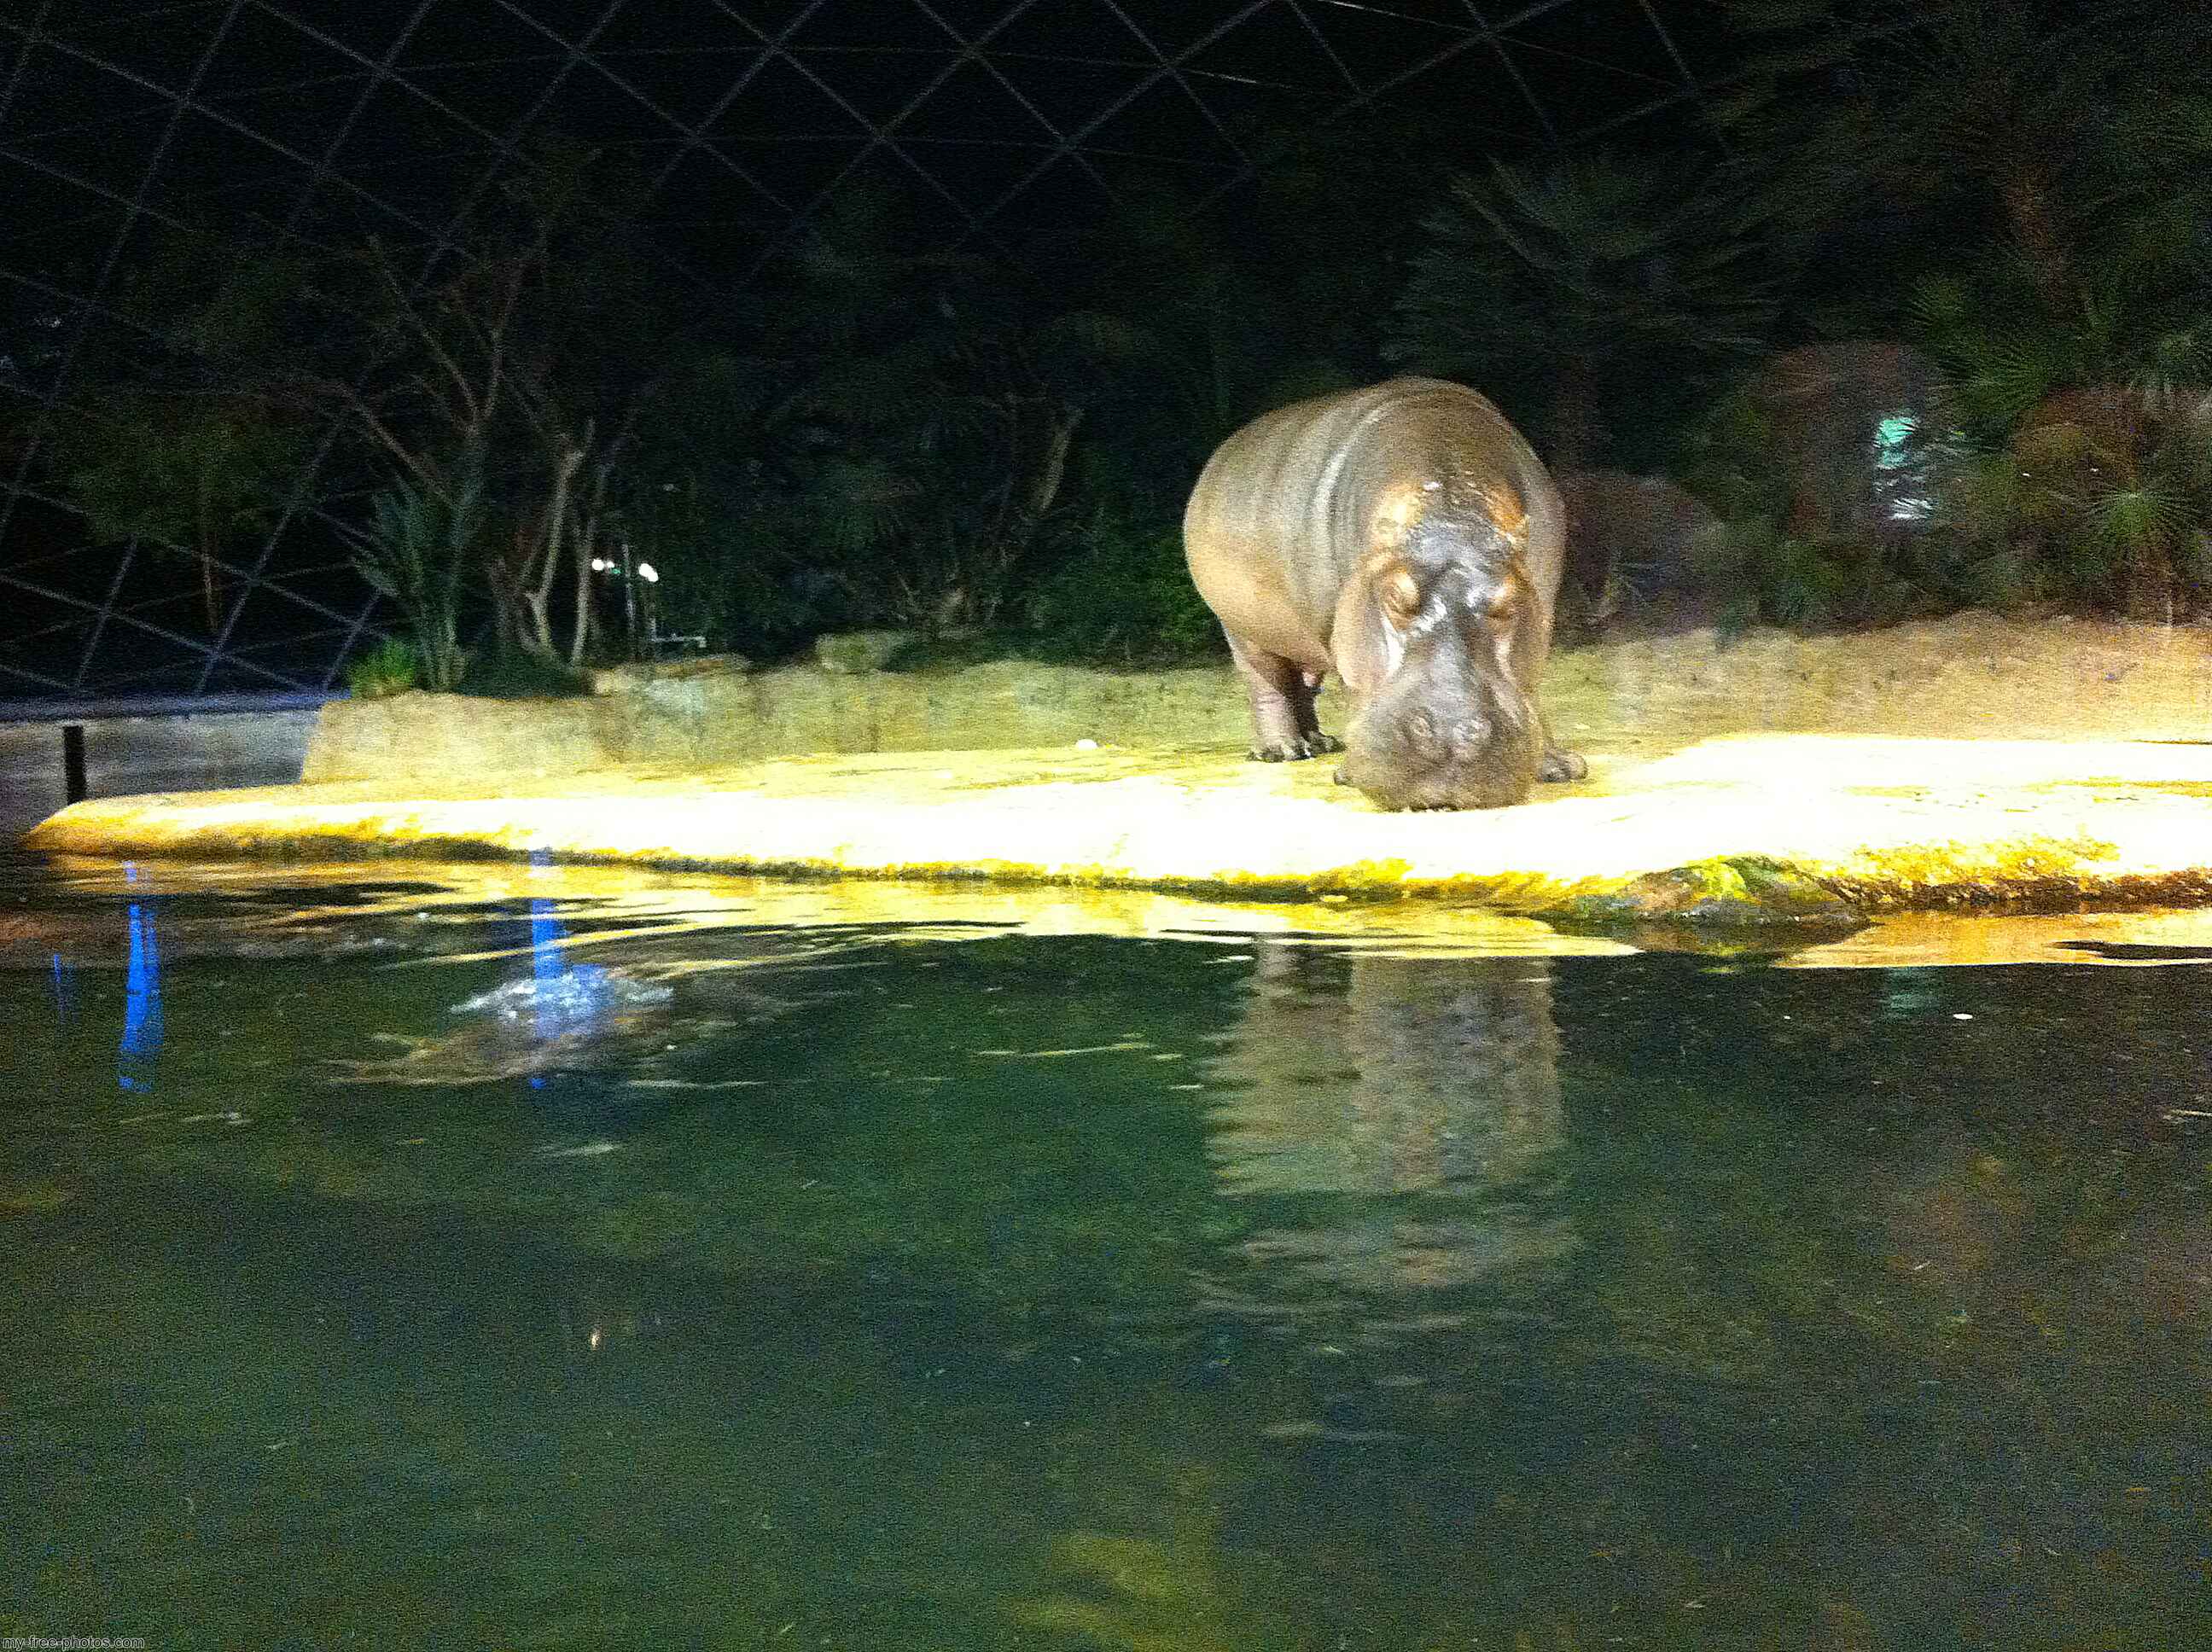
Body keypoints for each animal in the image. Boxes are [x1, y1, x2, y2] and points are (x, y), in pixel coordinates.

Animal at [1184, 377, 1585, 810]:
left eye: (1509, 605)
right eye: (1394, 597)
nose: (1450, 736)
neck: (1451, 511)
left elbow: (1531, 688)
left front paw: (1560, 769)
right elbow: (1349, 687)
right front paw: (1345, 776)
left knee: (1303, 687)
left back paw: (1320, 744)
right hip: (1243, 628)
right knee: (1266, 683)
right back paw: (1282, 751)